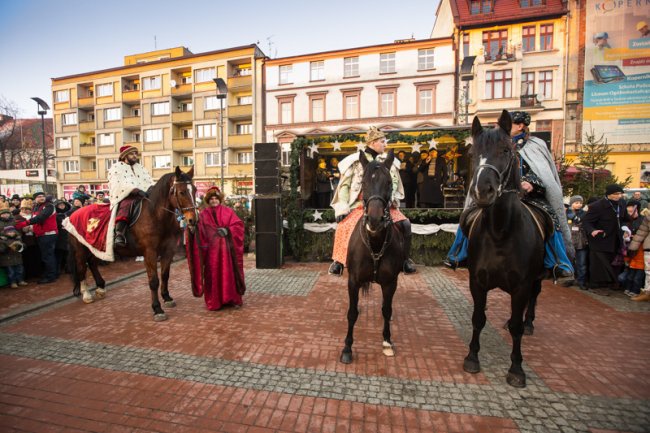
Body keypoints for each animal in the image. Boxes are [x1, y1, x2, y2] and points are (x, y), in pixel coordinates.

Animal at [68, 165, 196, 320]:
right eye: (182, 192)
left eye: (195, 190)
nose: (192, 220)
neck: (155, 215)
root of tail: (73, 214)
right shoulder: (150, 253)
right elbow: (153, 281)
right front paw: (157, 308)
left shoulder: (168, 250)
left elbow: (165, 275)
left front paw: (167, 297)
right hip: (80, 249)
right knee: (81, 267)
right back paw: (86, 294)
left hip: (96, 247)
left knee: (92, 263)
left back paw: (100, 288)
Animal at [336, 150, 402, 362]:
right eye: (363, 183)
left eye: (389, 182)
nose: (374, 219)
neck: (375, 244)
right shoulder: (353, 281)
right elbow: (351, 313)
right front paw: (347, 348)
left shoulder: (390, 283)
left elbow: (386, 311)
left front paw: (387, 342)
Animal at [458, 109, 548, 386]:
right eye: (472, 153)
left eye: (506, 150)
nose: (482, 190)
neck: (500, 232)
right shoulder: (477, 281)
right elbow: (478, 318)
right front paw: (472, 358)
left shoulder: (522, 285)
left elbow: (517, 327)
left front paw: (516, 369)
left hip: (538, 276)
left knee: (533, 299)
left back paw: (528, 323)